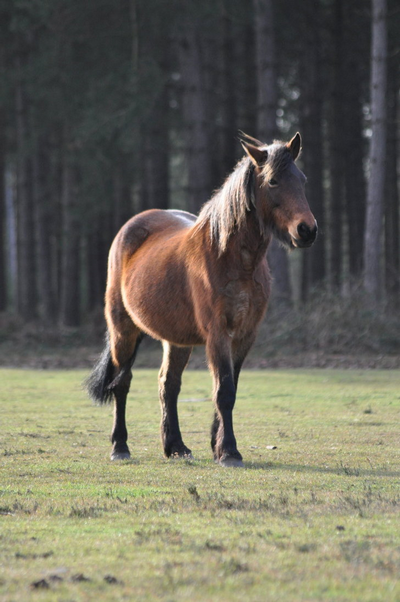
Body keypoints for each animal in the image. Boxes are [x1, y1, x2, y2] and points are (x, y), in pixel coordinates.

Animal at [86, 134, 318, 466]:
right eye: (273, 181)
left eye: (302, 179)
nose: (307, 230)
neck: (232, 258)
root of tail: (131, 228)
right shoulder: (217, 333)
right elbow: (223, 390)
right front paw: (229, 451)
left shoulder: (245, 335)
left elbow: (230, 387)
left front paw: (217, 445)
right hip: (123, 330)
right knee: (122, 383)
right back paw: (120, 447)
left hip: (176, 340)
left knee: (168, 385)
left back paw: (175, 446)